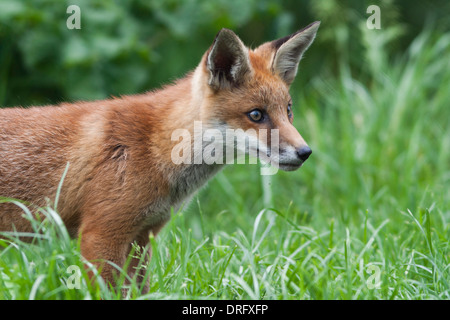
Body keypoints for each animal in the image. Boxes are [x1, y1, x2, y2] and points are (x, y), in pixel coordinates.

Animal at [1, 21, 322, 292]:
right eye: (256, 115)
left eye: (288, 110)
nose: (305, 153)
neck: (155, 148)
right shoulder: (100, 234)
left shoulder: (142, 236)